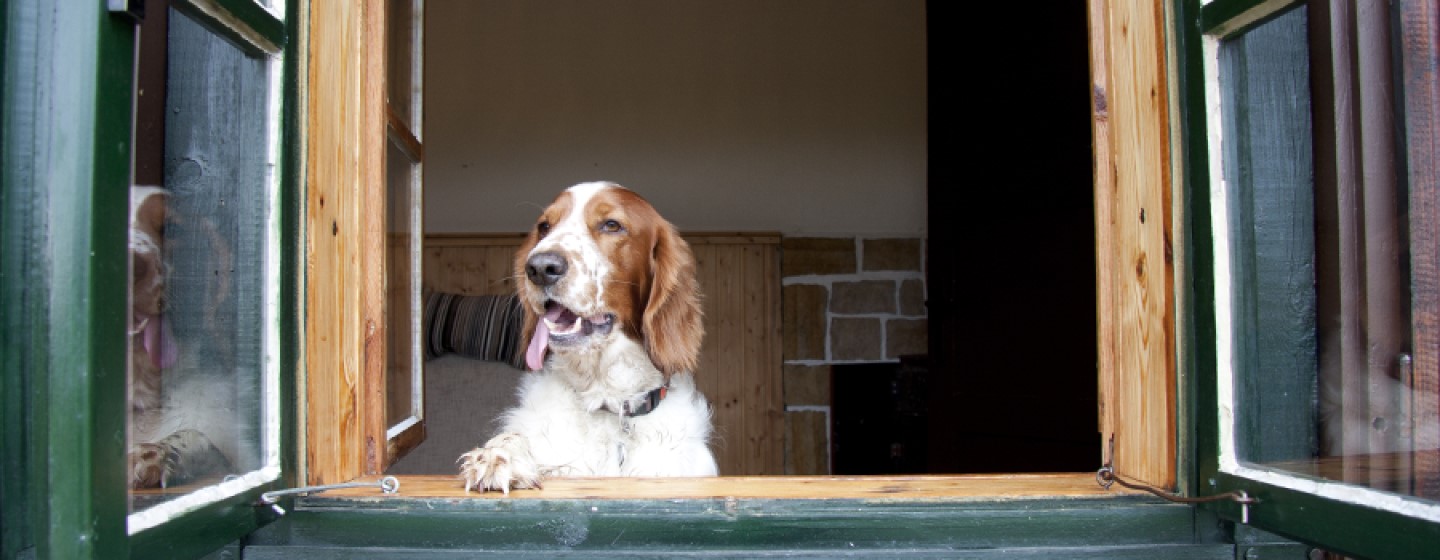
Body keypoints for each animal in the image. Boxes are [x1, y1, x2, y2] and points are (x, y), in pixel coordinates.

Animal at [457, 181, 717, 492]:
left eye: (611, 225)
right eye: (544, 226)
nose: (540, 267)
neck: (607, 403)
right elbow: (516, 438)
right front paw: (497, 456)